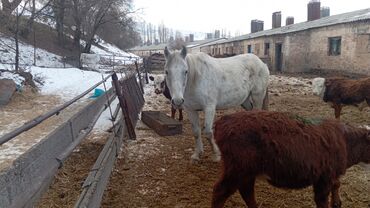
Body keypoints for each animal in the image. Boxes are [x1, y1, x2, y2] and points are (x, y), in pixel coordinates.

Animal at [211, 109, 370, 207]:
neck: (345, 139)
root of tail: (223, 121)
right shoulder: (324, 178)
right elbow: (322, 200)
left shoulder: (332, 175)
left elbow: (336, 184)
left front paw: (337, 203)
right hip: (237, 170)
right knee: (220, 192)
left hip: (247, 172)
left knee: (247, 192)